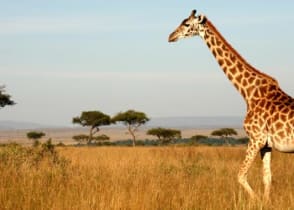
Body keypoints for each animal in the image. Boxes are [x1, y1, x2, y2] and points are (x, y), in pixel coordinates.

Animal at [168, 9, 294, 200]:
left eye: (187, 24)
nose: (171, 36)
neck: (248, 92)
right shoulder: (266, 144)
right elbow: (267, 178)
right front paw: (265, 201)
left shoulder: (256, 138)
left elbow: (240, 175)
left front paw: (256, 201)